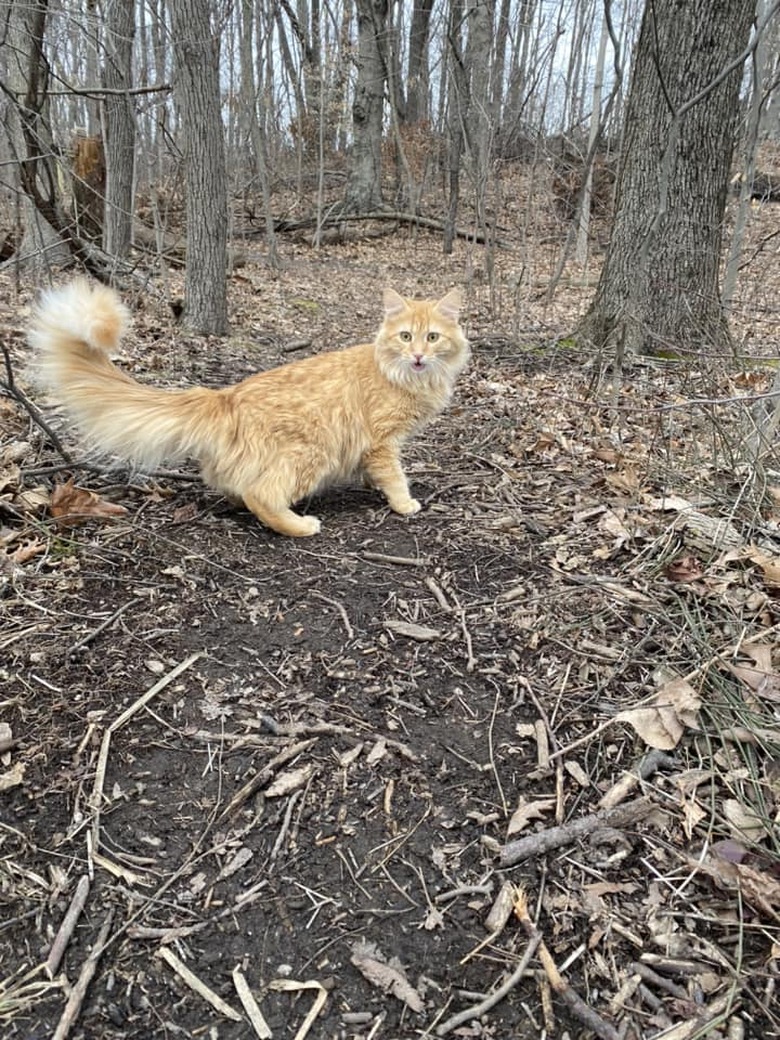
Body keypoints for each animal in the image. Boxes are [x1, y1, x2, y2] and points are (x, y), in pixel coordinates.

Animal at [28, 280, 470, 536]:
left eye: (432, 337)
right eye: (405, 336)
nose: (418, 356)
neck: (404, 377)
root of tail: (225, 395)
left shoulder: (373, 447)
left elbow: (374, 473)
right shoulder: (382, 440)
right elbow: (394, 477)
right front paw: (403, 503)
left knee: (236, 488)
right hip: (312, 451)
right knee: (262, 495)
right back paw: (300, 525)